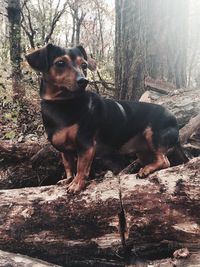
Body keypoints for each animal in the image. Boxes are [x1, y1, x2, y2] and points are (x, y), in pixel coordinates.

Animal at [25, 44, 180, 195]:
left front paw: (76, 184)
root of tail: (174, 119)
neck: (63, 103)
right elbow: (68, 166)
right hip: (143, 152)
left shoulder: (86, 145)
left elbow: (81, 167)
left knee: (165, 161)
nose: (83, 81)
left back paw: (146, 170)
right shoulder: (64, 150)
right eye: (60, 63)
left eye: (84, 65)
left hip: (153, 136)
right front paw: (68, 180)